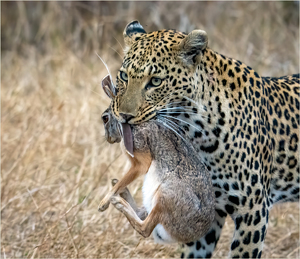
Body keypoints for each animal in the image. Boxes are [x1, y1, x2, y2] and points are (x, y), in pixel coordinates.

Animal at [106, 20, 298, 259]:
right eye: (124, 76)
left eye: (155, 81)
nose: (123, 115)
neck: (195, 129)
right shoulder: (208, 208)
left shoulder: (252, 210)